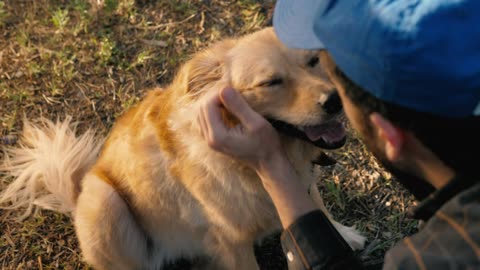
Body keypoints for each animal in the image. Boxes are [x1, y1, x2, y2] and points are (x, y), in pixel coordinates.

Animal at [0, 28, 366, 270]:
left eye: (314, 60)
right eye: (271, 82)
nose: (334, 101)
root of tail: (74, 199)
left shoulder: (303, 183)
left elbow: (319, 208)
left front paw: (344, 235)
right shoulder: (230, 241)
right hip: (103, 201)